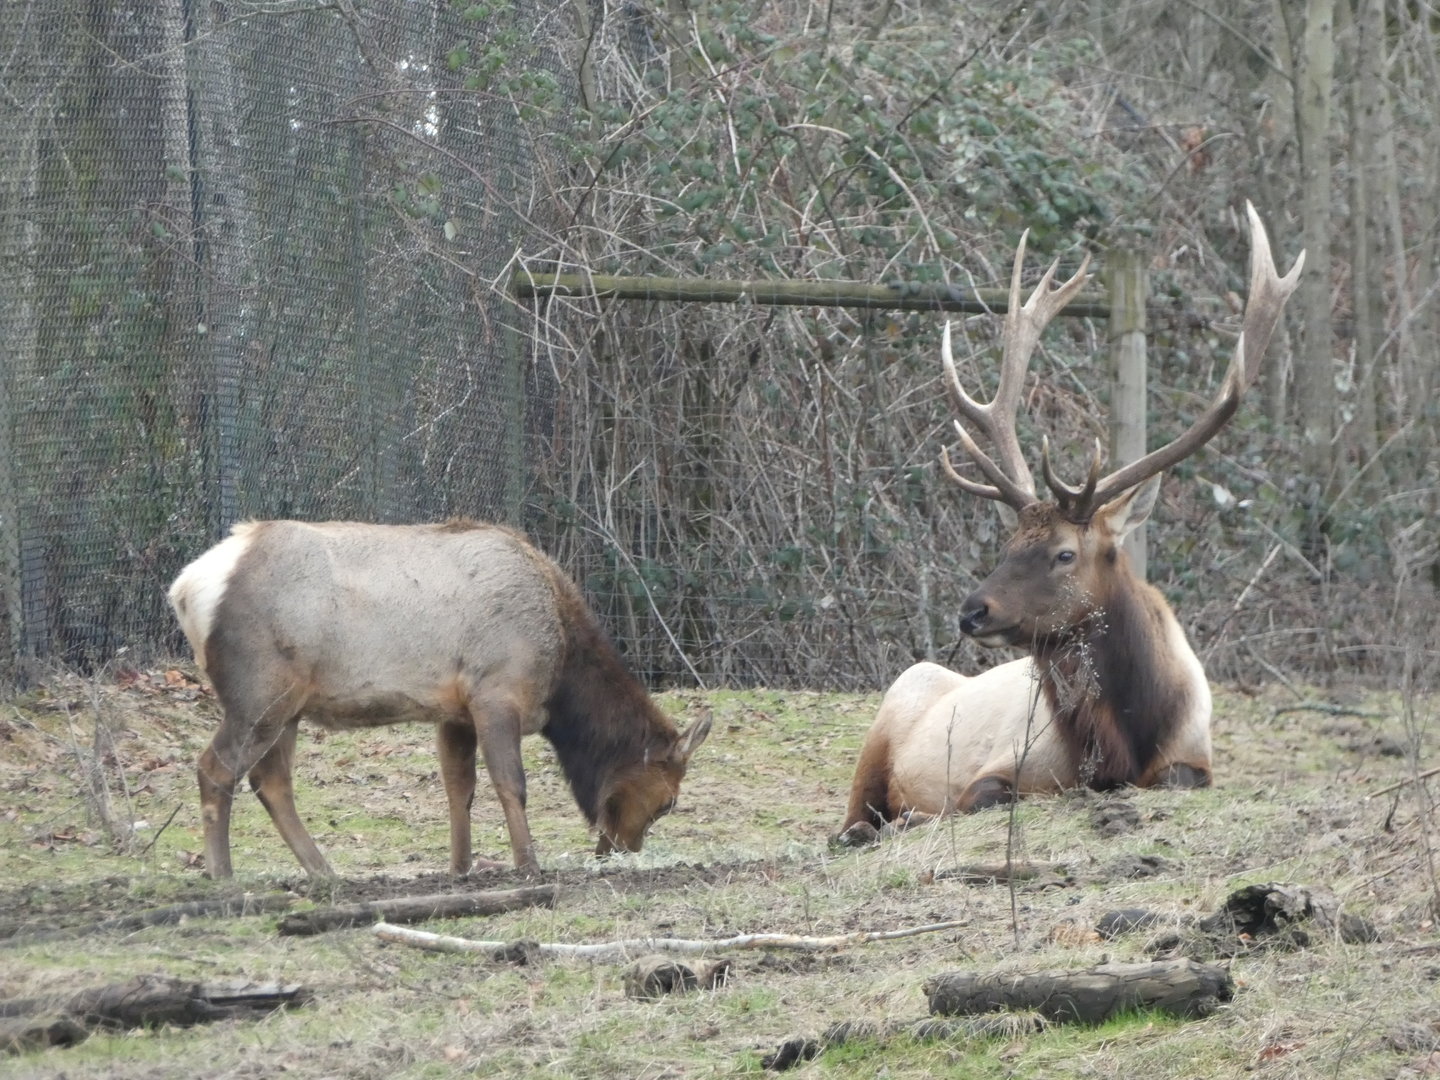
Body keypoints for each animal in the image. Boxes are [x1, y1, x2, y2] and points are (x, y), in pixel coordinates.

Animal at [168, 518, 712, 879]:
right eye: (668, 801)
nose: (618, 851)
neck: (561, 673)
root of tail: (184, 589)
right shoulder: (496, 692)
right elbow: (510, 784)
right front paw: (528, 865)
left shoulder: (455, 712)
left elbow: (459, 789)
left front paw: (460, 868)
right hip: (259, 694)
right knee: (216, 768)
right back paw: (223, 875)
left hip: (288, 706)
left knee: (270, 780)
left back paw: (324, 872)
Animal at [839, 202, 1304, 843]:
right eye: (1008, 543)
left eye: (1064, 553)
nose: (971, 612)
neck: (1124, 735)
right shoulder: (1007, 763)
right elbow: (980, 797)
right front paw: (920, 816)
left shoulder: (1195, 759)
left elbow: (1177, 779)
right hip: (887, 715)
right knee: (853, 815)